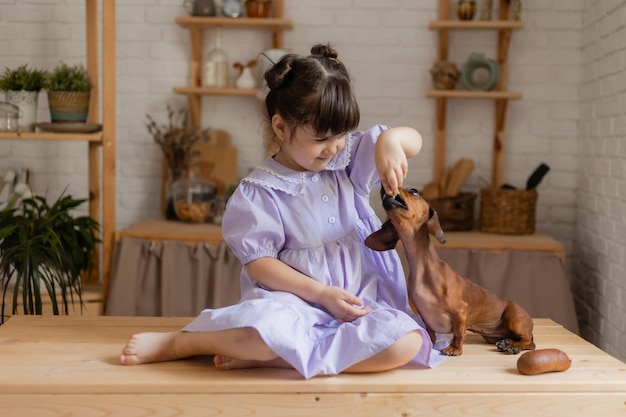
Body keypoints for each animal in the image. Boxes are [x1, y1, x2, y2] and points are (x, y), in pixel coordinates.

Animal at [364, 188, 532, 354]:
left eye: (414, 191)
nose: (383, 187)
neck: (423, 269)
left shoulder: (460, 310)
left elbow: (458, 332)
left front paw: (454, 349)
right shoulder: (424, 314)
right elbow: (430, 332)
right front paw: (429, 345)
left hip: (514, 319)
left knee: (529, 342)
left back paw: (514, 346)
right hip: (491, 336)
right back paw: (506, 342)